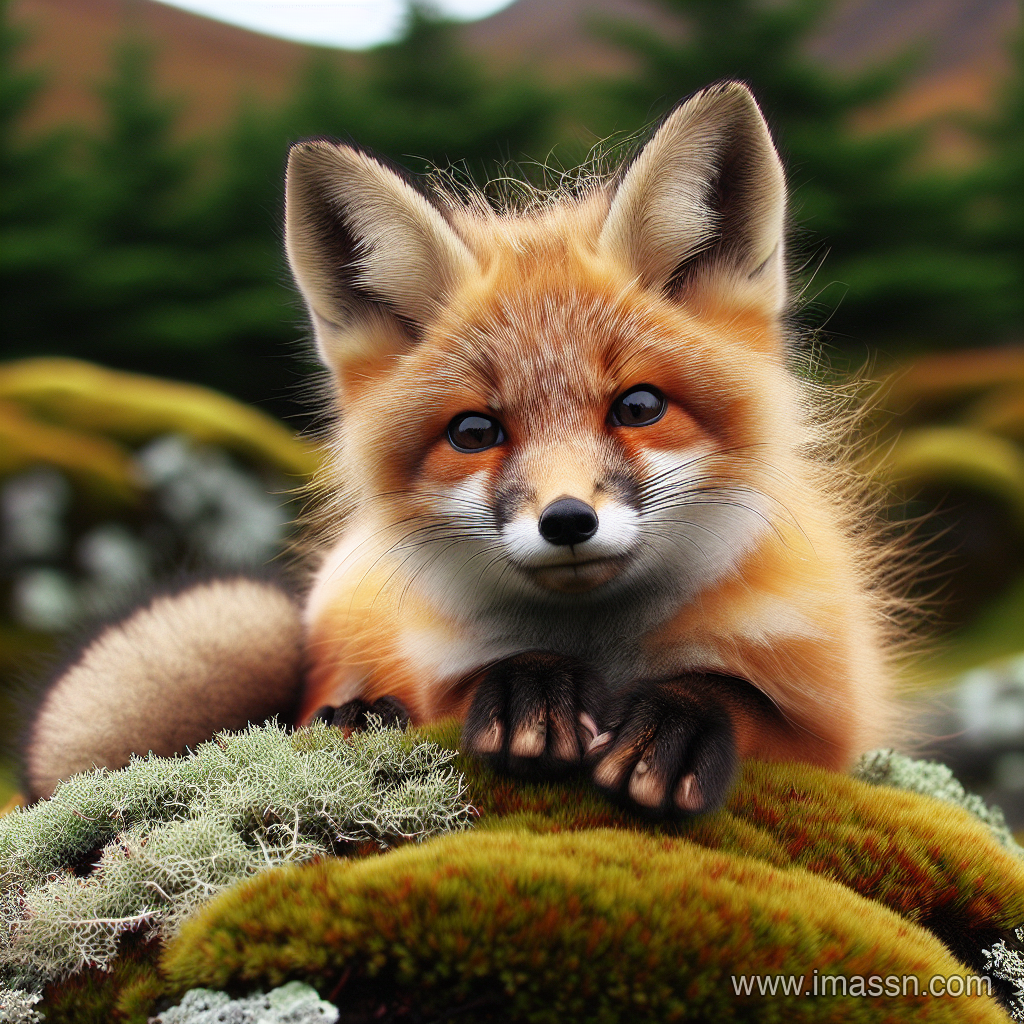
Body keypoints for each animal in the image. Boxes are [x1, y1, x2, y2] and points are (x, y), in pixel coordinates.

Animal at [20, 81, 898, 817]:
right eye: (475, 432)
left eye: (640, 407)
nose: (567, 520)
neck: (605, 650)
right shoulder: (441, 673)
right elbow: (476, 684)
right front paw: (527, 688)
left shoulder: (834, 726)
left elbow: (733, 694)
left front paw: (676, 724)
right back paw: (357, 712)